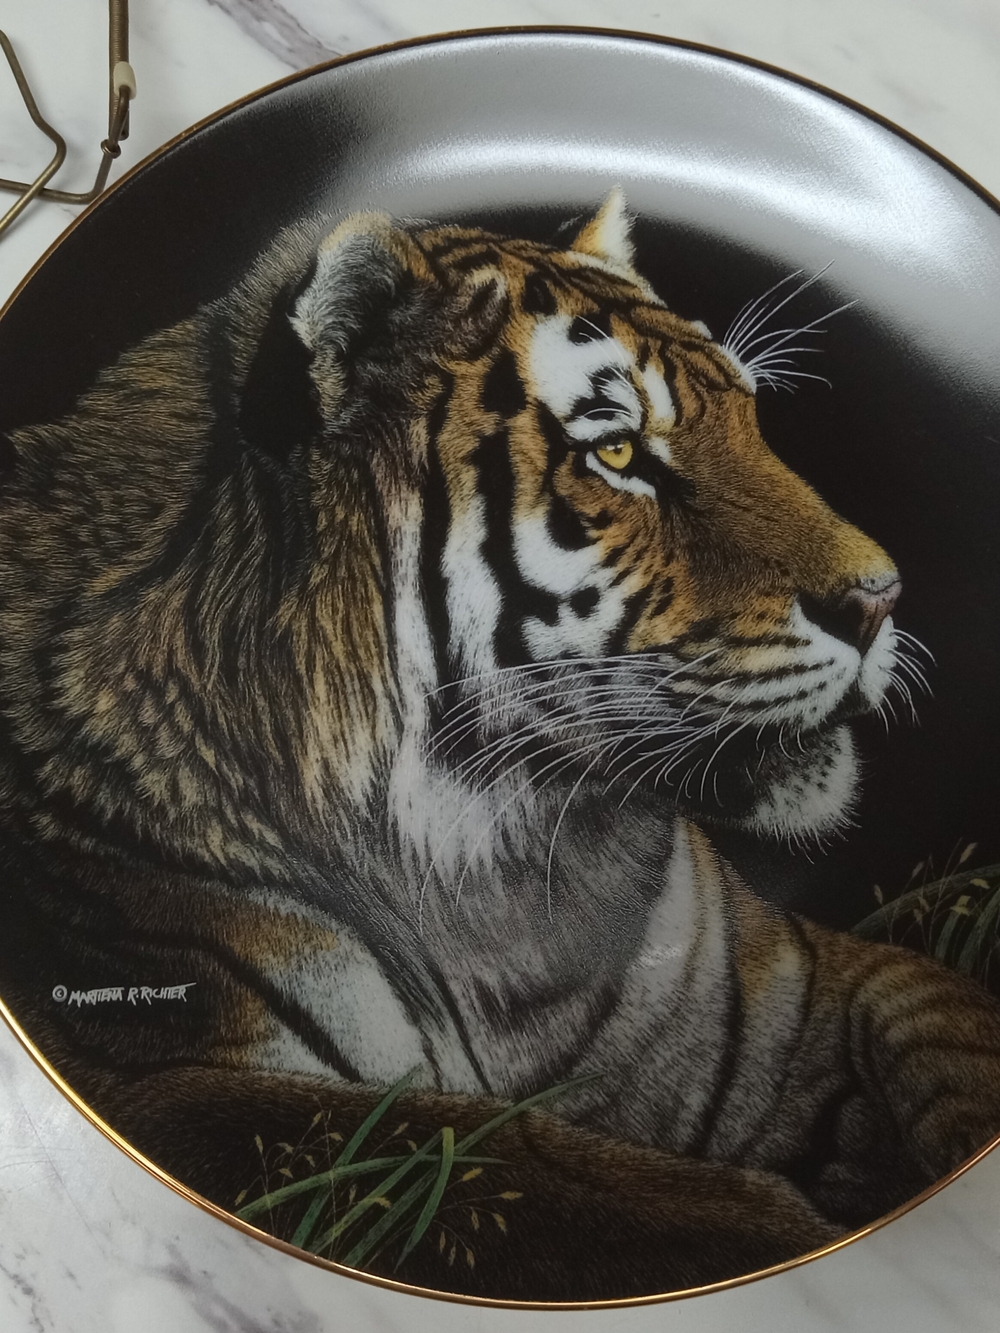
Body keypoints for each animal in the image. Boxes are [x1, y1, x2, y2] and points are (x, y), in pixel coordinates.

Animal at [0, 190, 999, 1304]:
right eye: (620, 455)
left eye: (750, 418)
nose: (882, 600)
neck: (511, 885)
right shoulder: (168, 1076)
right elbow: (535, 1175)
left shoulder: (801, 986)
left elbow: (942, 1022)